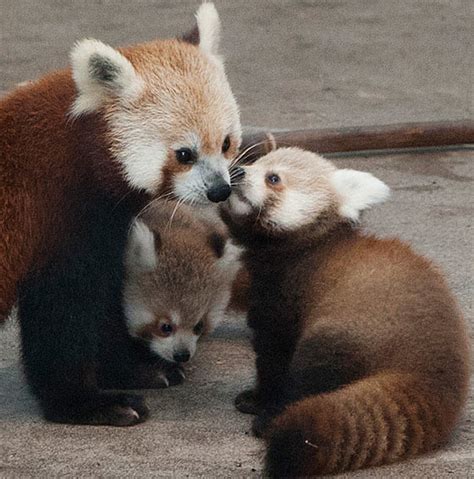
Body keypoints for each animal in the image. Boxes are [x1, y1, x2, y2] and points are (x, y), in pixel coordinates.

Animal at [0, 1, 243, 426]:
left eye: (226, 143)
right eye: (185, 154)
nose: (219, 190)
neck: (81, 149)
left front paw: (134, 369)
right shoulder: (59, 216)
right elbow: (63, 314)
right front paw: (85, 402)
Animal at [221, 149, 470, 476]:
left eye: (273, 178)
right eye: (251, 163)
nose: (236, 171)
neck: (309, 244)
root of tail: (430, 372)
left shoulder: (284, 301)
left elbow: (273, 358)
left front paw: (261, 400)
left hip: (346, 328)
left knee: (309, 376)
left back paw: (271, 418)